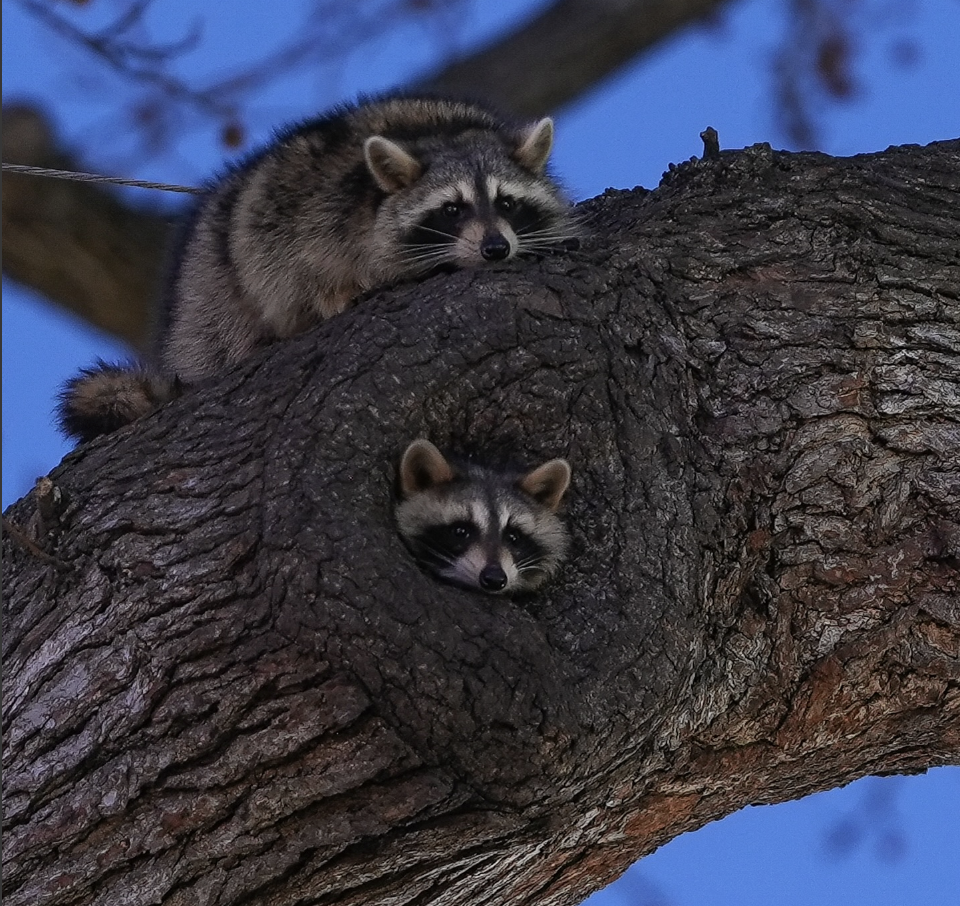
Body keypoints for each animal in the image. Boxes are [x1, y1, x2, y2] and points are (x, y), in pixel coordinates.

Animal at [56, 94, 576, 442]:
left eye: (507, 203)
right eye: (452, 209)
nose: (495, 249)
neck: (440, 133)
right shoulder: (307, 209)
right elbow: (291, 265)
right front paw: (334, 294)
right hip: (208, 286)